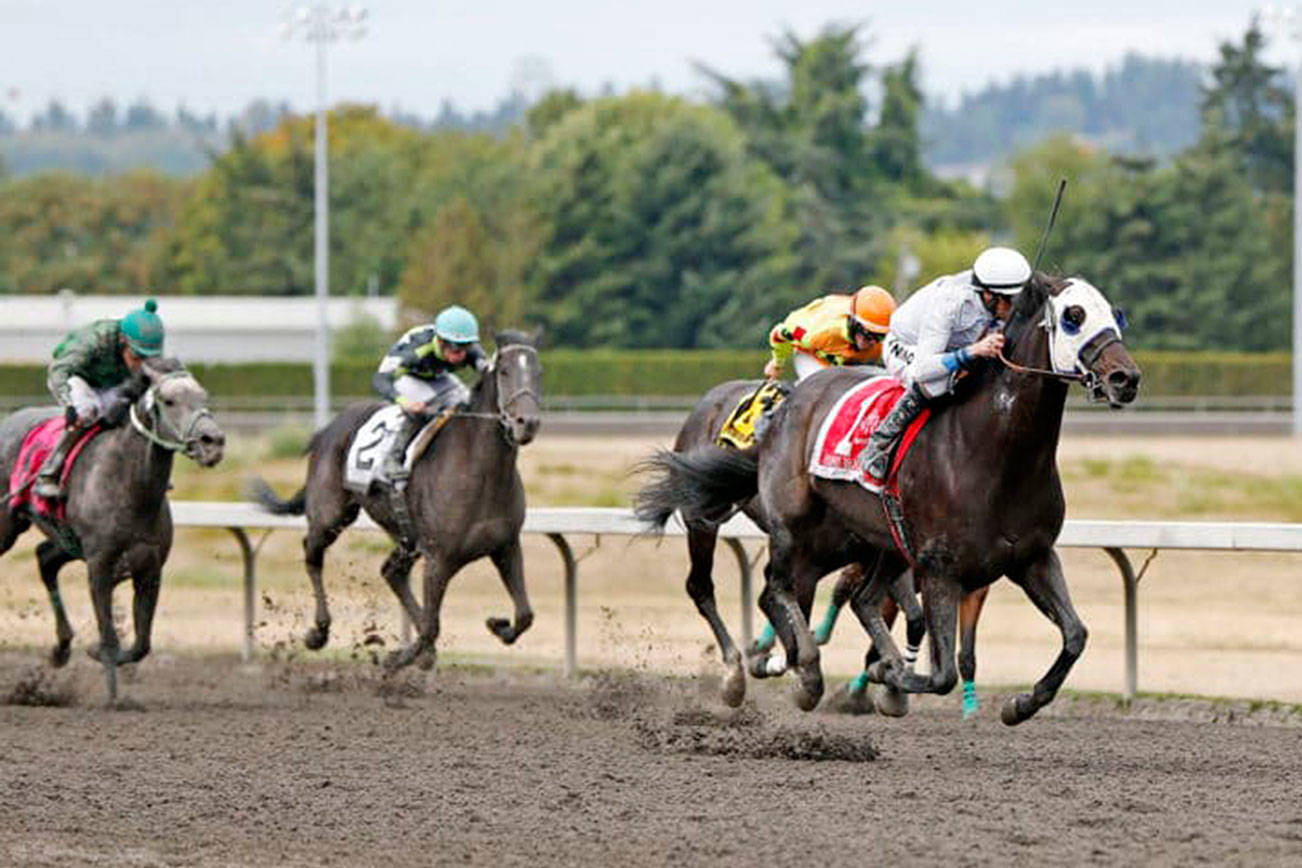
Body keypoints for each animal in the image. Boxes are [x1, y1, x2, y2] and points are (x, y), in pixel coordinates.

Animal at [0, 359, 223, 707]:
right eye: (169, 401)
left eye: (204, 396)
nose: (212, 441)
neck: (129, 486)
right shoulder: (99, 564)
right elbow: (109, 634)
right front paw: (112, 695)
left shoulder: (149, 568)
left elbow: (141, 644)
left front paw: (100, 658)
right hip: (7, 525)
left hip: (67, 541)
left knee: (44, 558)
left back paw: (61, 648)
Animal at [251, 329, 541, 676]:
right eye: (505, 372)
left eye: (539, 371)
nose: (527, 422)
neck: (482, 472)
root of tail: (327, 429)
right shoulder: (439, 558)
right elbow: (431, 626)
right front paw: (399, 657)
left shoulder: (505, 546)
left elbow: (525, 615)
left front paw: (498, 625)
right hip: (331, 515)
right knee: (313, 553)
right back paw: (318, 631)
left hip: (406, 536)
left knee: (391, 572)